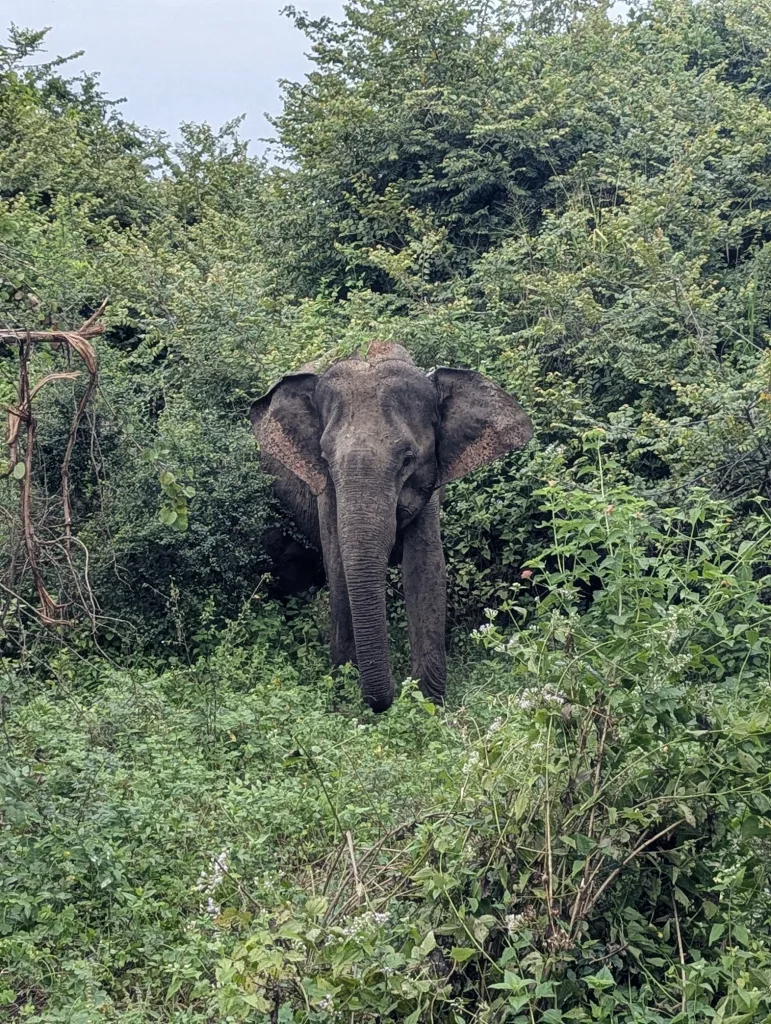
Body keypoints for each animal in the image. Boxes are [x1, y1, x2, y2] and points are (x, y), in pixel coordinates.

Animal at [250, 341, 533, 712]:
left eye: (408, 459)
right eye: (325, 459)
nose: (391, 697)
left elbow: (425, 568)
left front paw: (427, 703)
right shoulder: (325, 489)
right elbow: (338, 566)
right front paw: (346, 695)